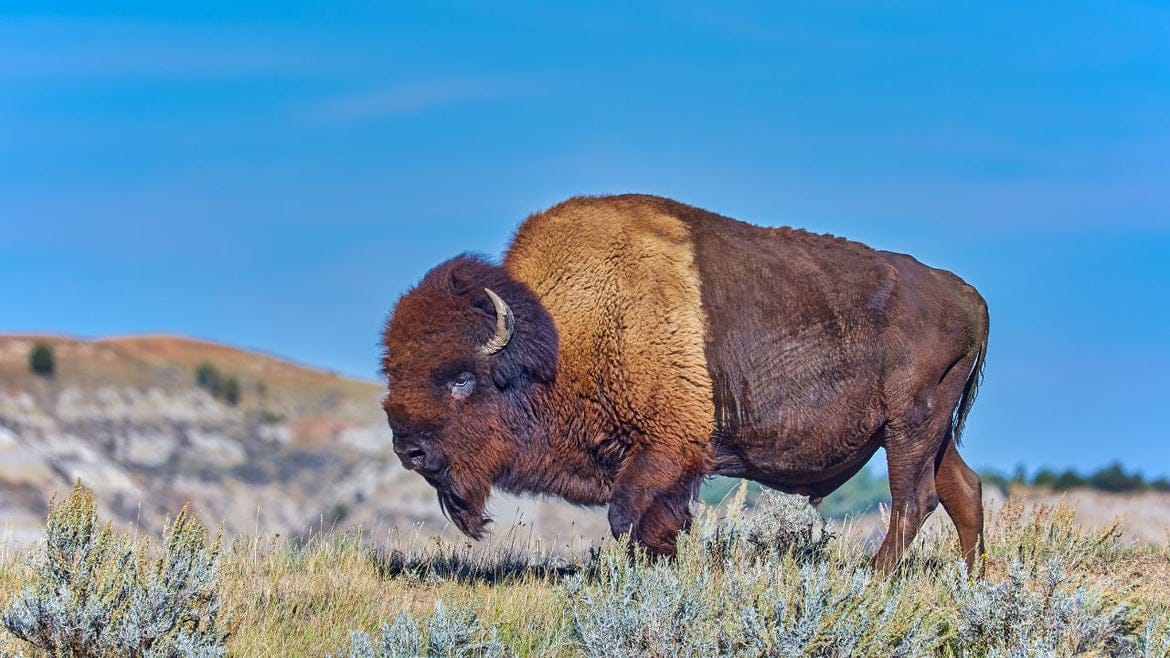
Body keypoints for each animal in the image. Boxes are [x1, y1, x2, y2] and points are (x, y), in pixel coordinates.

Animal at [380, 194, 989, 572]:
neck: (563, 334)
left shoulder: (666, 449)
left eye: (463, 378)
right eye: (394, 372)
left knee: (914, 499)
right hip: (928, 432)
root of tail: (967, 296)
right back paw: (971, 580)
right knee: (963, 489)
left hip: (909, 425)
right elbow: (654, 524)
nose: (408, 449)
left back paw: (874, 578)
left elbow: (628, 517)